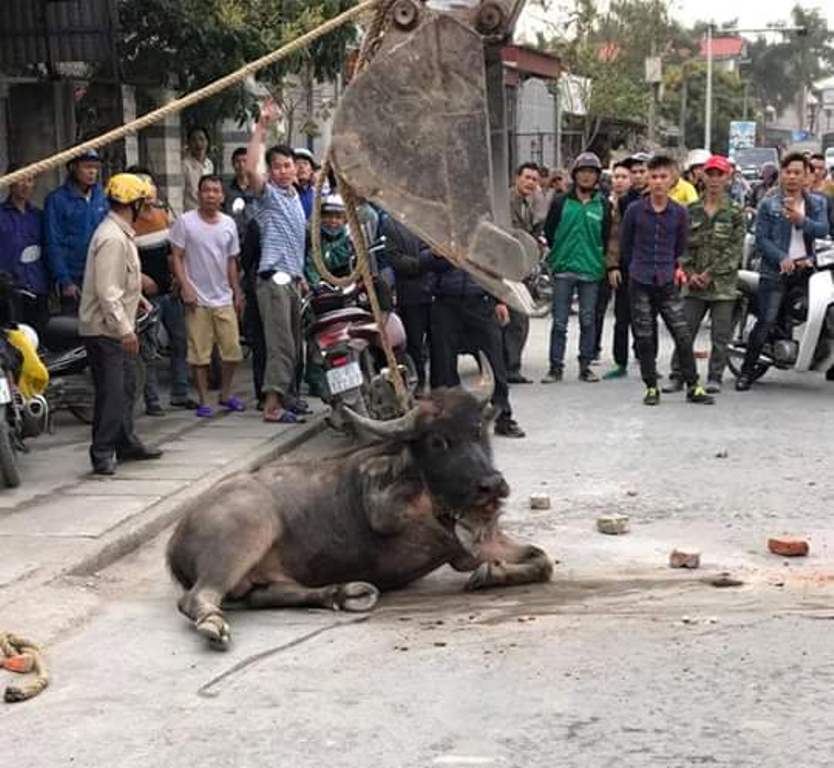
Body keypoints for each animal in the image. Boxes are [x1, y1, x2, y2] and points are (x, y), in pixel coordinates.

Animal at [166, 356, 548, 648]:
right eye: (439, 441)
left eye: (477, 430)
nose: (492, 485)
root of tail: (175, 540)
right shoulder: (383, 508)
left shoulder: (480, 544)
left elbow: (542, 561)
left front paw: (489, 573)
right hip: (245, 534)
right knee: (196, 597)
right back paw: (213, 625)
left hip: (265, 578)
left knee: (262, 596)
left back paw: (342, 593)